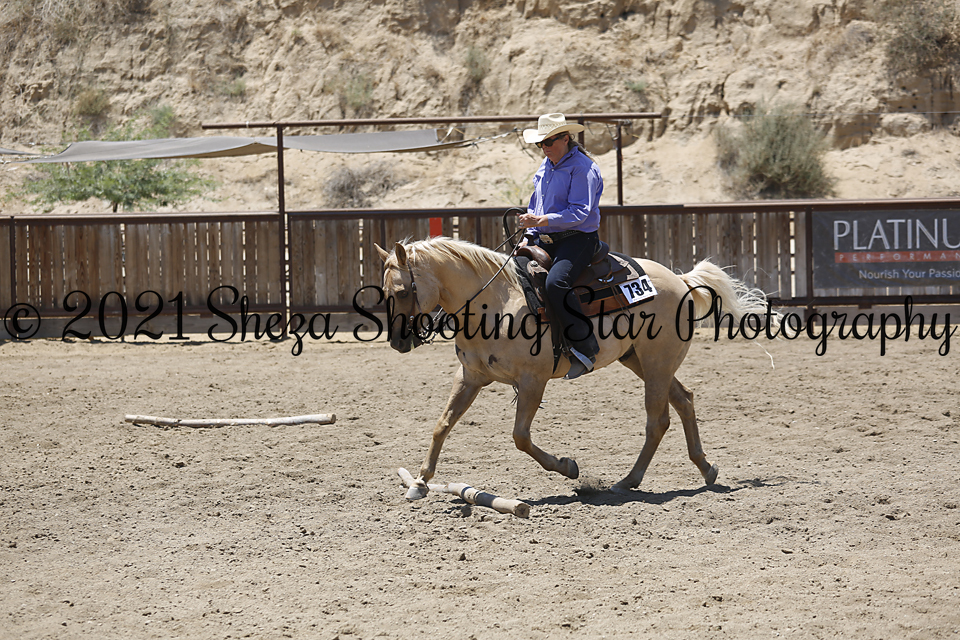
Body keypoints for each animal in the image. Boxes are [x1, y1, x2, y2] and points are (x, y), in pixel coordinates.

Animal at [374, 236, 771, 499]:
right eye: (385, 292)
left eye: (403, 291)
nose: (397, 342)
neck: (495, 302)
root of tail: (680, 281)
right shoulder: (470, 378)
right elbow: (442, 425)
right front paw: (421, 482)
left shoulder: (533, 381)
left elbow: (520, 437)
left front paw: (567, 467)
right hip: (641, 361)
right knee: (685, 400)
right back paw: (704, 468)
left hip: (656, 363)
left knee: (657, 420)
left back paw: (629, 481)